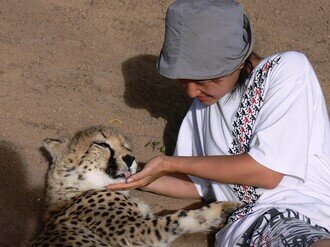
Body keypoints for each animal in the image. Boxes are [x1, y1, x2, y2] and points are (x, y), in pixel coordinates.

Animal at [29, 126, 241, 246]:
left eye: (127, 146)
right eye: (101, 144)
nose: (130, 158)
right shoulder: (134, 231)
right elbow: (175, 219)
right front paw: (220, 209)